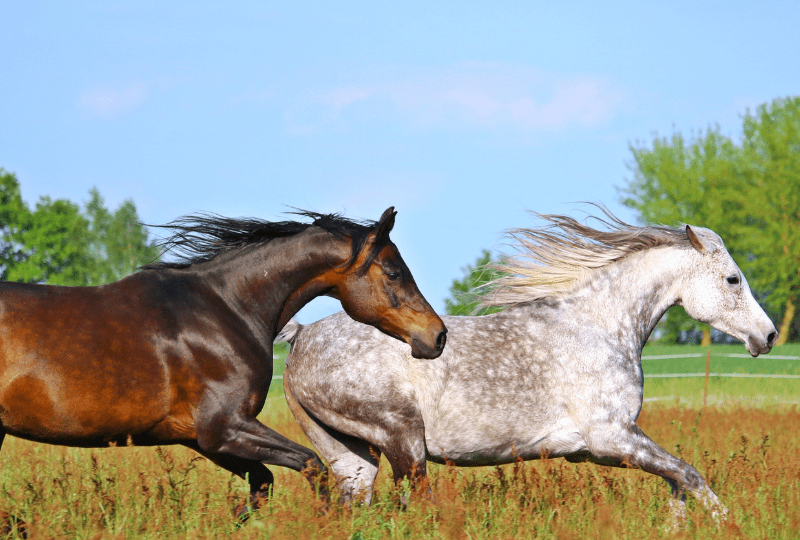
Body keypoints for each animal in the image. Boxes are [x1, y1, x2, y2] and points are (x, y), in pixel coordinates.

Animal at [0, 206, 446, 516]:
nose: (437, 336)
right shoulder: (224, 428)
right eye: (393, 272)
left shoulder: (201, 437)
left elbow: (262, 484)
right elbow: (311, 466)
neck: (227, 308)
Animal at [280, 212, 776, 516]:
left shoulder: (597, 448)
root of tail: (301, 335)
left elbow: (678, 482)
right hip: (403, 441)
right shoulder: (612, 437)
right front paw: (728, 524)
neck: (597, 326)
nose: (768, 336)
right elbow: (690, 476)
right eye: (733, 279)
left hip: (351, 456)